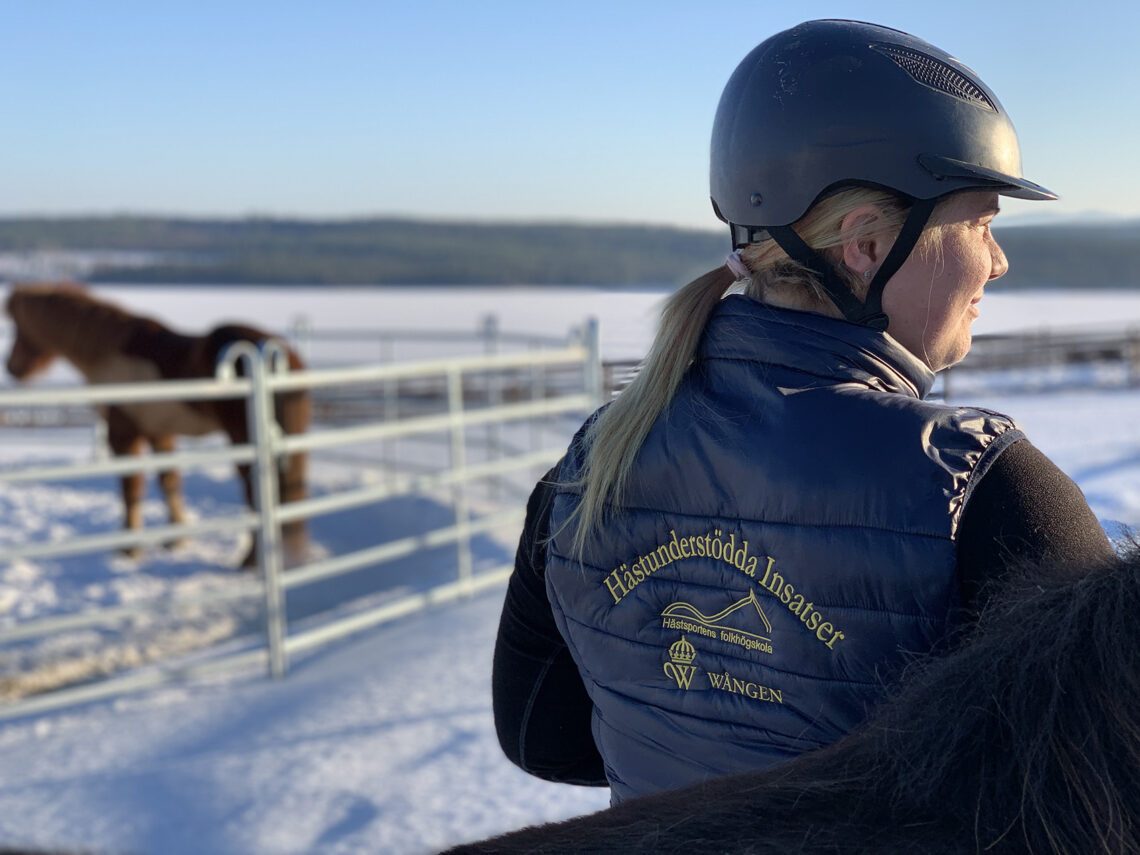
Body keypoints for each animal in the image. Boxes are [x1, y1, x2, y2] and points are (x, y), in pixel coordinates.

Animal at [3, 285, 312, 572]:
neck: (110, 351)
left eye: (20, 328)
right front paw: (175, 540)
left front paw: (129, 550)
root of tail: (280, 353)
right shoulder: (158, 432)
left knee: (255, 493)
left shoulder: (123, 432)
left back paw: (249, 561)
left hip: (243, 439)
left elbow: (131, 487)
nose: (11, 367)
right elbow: (169, 481)